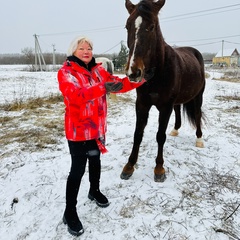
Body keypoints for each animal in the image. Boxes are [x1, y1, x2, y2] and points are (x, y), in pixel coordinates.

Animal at [121, 0, 205, 182]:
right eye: (127, 26)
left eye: (152, 26)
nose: (134, 71)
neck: (157, 72)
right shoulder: (142, 105)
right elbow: (137, 134)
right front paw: (129, 166)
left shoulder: (165, 107)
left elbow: (160, 136)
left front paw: (159, 169)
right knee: (179, 110)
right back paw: (175, 130)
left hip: (198, 97)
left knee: (197, 114)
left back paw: (199, 139)